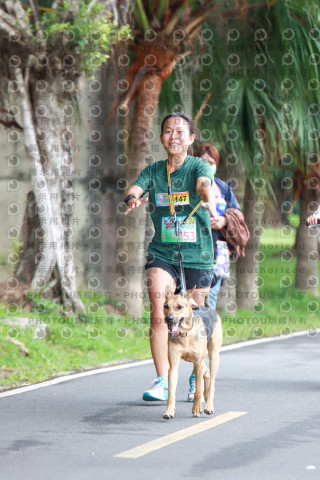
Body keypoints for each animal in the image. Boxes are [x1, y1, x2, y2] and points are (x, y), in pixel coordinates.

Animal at [164, 286, 221, 418]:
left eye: (179, 307)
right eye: (166, 306)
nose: (168, 318)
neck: (185, 334)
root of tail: (208, 307)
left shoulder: (198, 363)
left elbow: (198, 390)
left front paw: (196, 409)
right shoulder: (173, 366)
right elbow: (171, 393)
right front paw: (169, 411)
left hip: (213, 356)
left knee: (211, 383)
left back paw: (209, 406)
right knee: (207, 373)